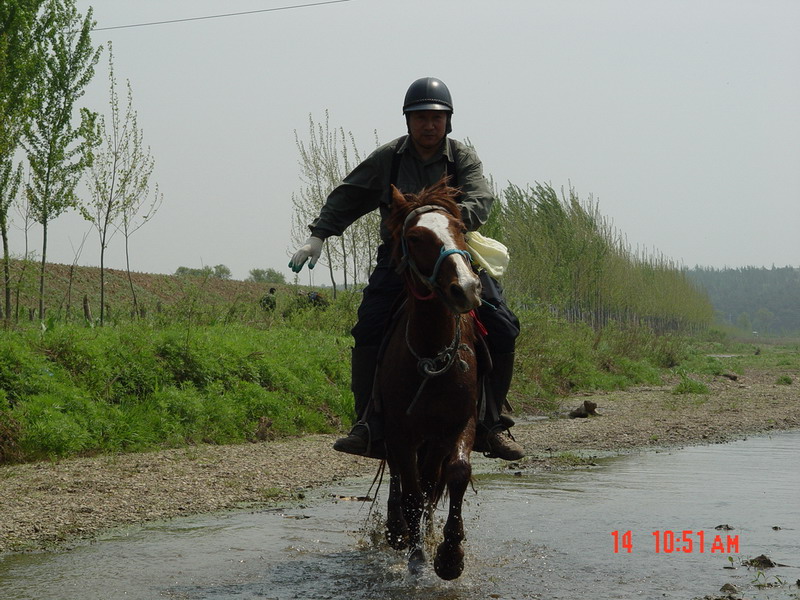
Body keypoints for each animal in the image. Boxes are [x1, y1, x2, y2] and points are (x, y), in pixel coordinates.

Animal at [376, 179, 482, 580]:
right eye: (416, 237)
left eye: (461, 228)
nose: (465, 288)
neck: (431, 354)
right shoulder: (400, 432)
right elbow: (411, 491)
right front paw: (418, 555)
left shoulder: (459, 424)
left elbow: (456, 473)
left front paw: (450, 556)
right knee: (403, 482)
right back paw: (399, 532)